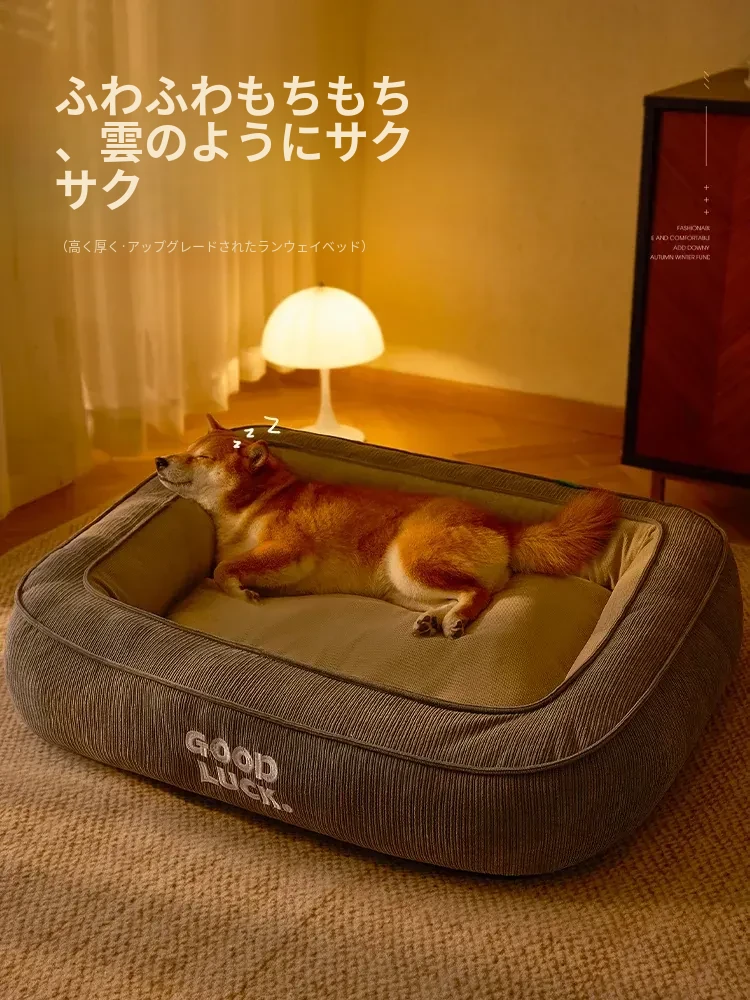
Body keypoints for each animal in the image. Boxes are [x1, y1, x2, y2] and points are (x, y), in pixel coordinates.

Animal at [154, 416, 620, 638]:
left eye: (202, 457)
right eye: (186, 448)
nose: (159, 459)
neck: (254, 503)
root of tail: (504, 526)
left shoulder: (289, 551)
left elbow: (222, 571)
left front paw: (243, 595)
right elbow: (225, 567)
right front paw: (245, 589)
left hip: (408, 563)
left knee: (478, 592)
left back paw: (454, 620)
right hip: (402, 586)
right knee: (471, 593)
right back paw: (439, 620)